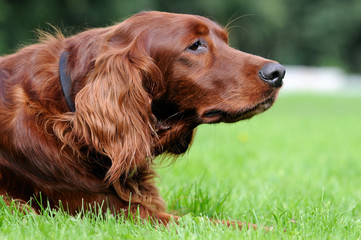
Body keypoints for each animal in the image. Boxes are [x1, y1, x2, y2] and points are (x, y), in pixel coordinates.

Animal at [0, 10, 286, 225]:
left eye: (225, 40)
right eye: (195, 45)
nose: (278, 72)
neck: (68, 116)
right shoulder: (115, 212)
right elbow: (218, 222)